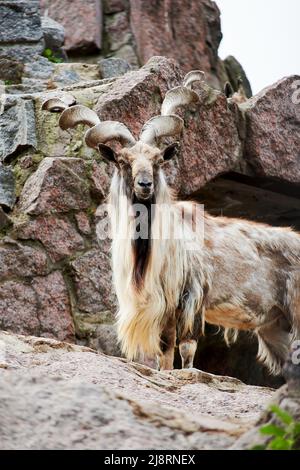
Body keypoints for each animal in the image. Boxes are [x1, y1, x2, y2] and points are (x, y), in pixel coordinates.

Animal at [42, 72, 300, 374]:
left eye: (157, 160)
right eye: (123, 161)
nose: (145, 185)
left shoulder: (192, 296)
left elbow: (187, 349)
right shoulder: (163, 307)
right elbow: (164, 353)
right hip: (275, 324)